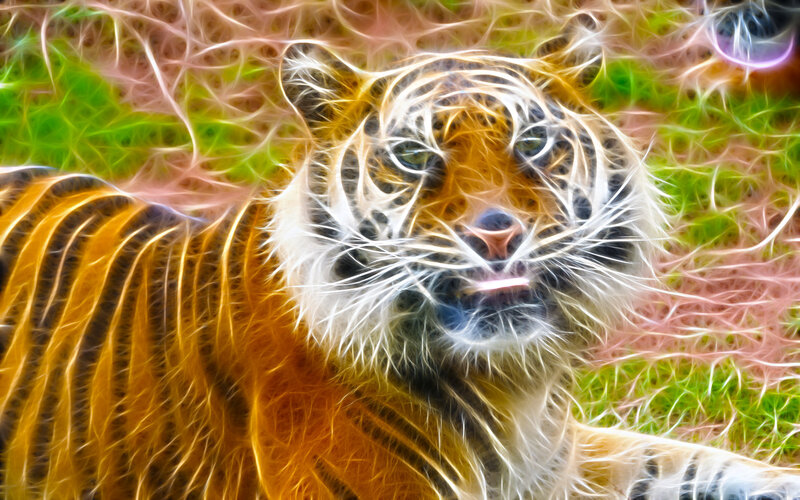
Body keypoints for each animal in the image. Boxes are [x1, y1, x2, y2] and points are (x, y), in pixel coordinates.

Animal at [0, 24, 799, 500]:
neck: (514, 386)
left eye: (531, 144)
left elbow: (696, 461)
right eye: (415, 157)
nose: (496, 236)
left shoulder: (565, 461)